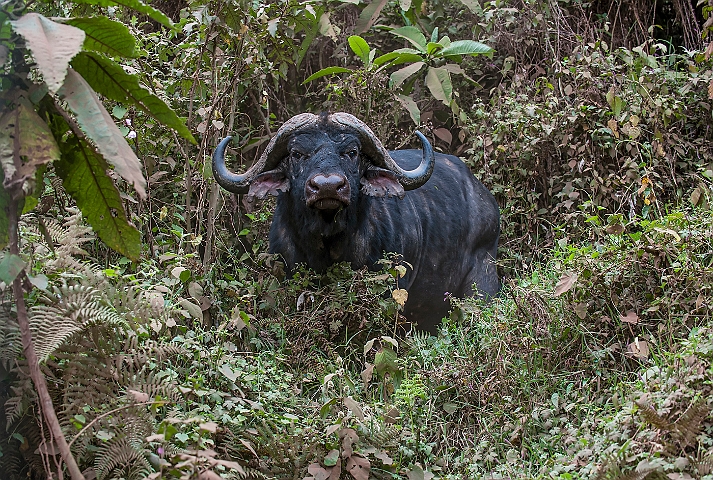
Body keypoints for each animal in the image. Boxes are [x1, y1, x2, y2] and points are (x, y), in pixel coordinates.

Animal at [214, 112, 498, 332]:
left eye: (352, 152)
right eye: (296, 153)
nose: (327, 187)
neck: (328, 244)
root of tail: (485, 199)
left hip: (483, 278)